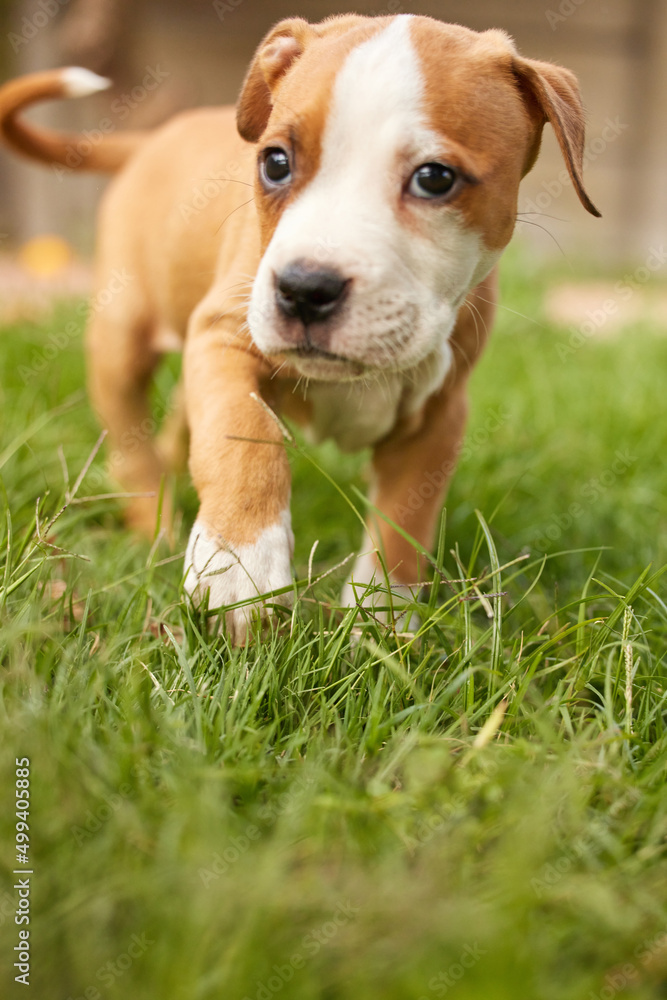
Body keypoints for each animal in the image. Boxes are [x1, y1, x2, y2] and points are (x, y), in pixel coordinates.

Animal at [0, 15, 600, 640]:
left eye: (435, 179)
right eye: (276, 162)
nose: (306, 289)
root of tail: (153, 139)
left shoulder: (438, 416)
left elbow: (405, 519)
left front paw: (380, 624)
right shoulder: (223, 337)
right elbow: (243, 436)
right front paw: (239, 573)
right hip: (121, 341)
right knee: (132, 444)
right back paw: (157, 529)